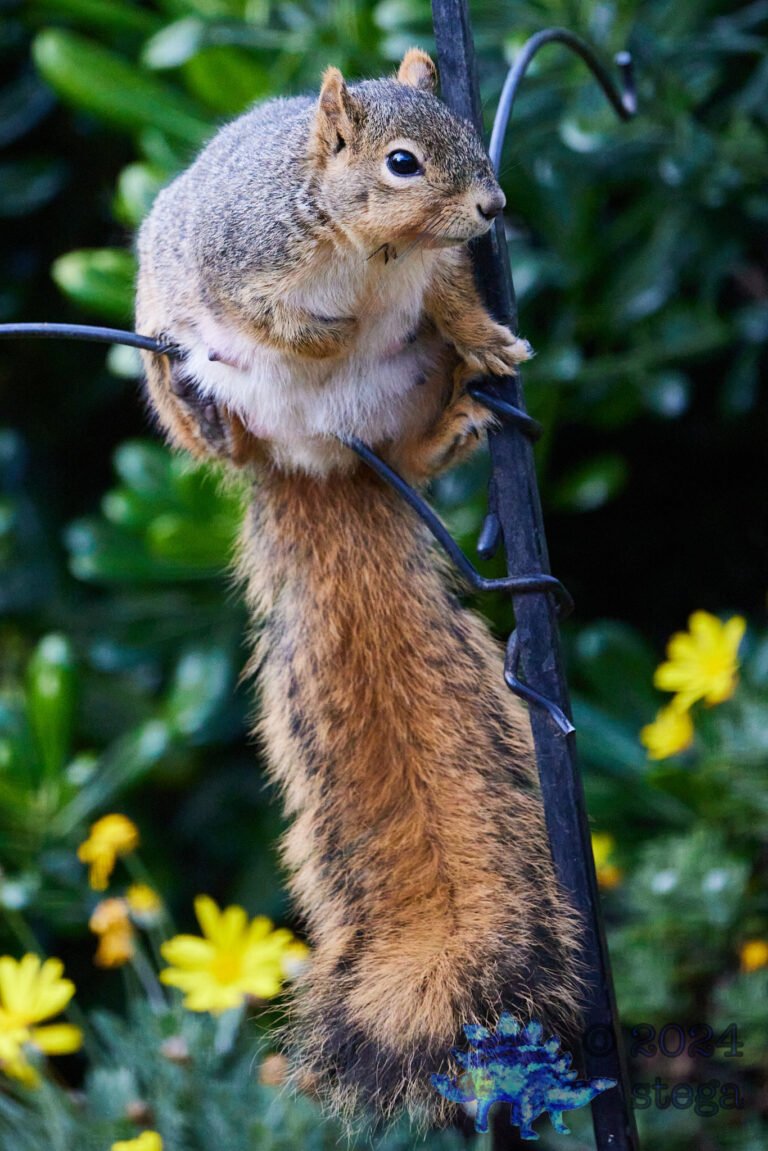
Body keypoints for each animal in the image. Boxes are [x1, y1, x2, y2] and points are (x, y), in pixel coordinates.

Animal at [136, 48, 583, 1128]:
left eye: (464, 135)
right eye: (402, 162)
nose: (491, 207)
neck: (376, 255)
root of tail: (321, 462)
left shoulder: (440, 274)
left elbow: (452, 300)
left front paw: (488, 338)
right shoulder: (242, 259)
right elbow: (273, 321)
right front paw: (321, 336)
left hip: (407, 404)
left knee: (414, 449)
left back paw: (458, 423)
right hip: (180, 363)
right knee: (212, 411)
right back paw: (216, 418)